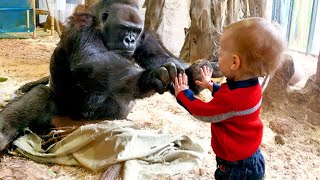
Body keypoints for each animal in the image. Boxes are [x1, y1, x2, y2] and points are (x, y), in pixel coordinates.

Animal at [0, 0, 218, 151]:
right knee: (41, 95)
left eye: (135, 31)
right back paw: (4, 133)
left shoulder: (145, 34)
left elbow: (158, 57)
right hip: (62, 119)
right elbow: (91, 62)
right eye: (124, 28)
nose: (130, 40)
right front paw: (148, 78)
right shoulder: (82, 25)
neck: (99, 23)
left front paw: (195, 75)